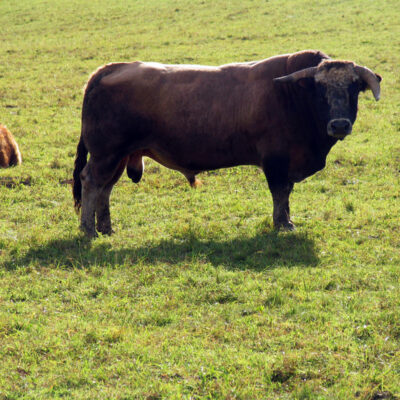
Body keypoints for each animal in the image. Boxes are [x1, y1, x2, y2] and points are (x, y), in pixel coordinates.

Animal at [72, 50, 382, 238]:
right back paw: (88, 230)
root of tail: (111, 68)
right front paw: (283, 224)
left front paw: (286, 221)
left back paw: (106, 228)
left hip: (119, 157)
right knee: (91, 183)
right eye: (320, 90)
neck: (292, 96)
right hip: (105, 155)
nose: (339, 125)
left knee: (105, 189)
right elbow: (280, 193)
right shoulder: (276, 162)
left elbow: (286, 194)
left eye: (354, 88)